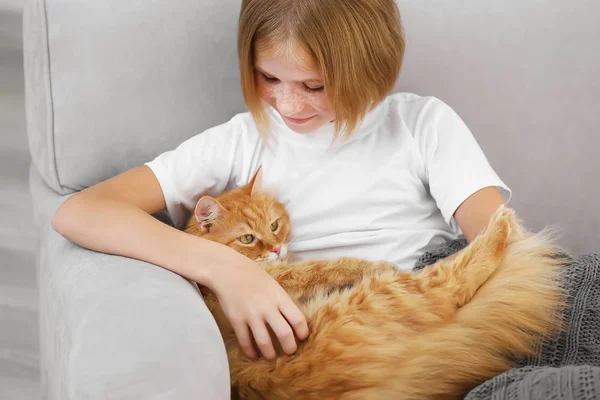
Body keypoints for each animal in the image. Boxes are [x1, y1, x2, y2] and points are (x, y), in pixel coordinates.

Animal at [185, 170, 568, 398]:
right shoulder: (278, 276)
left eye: (275, 226)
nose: (277, 248)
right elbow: (329, 265)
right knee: (449, 282)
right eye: (248, 238)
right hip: (378, 298)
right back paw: (501, 224)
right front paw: (370, 264)